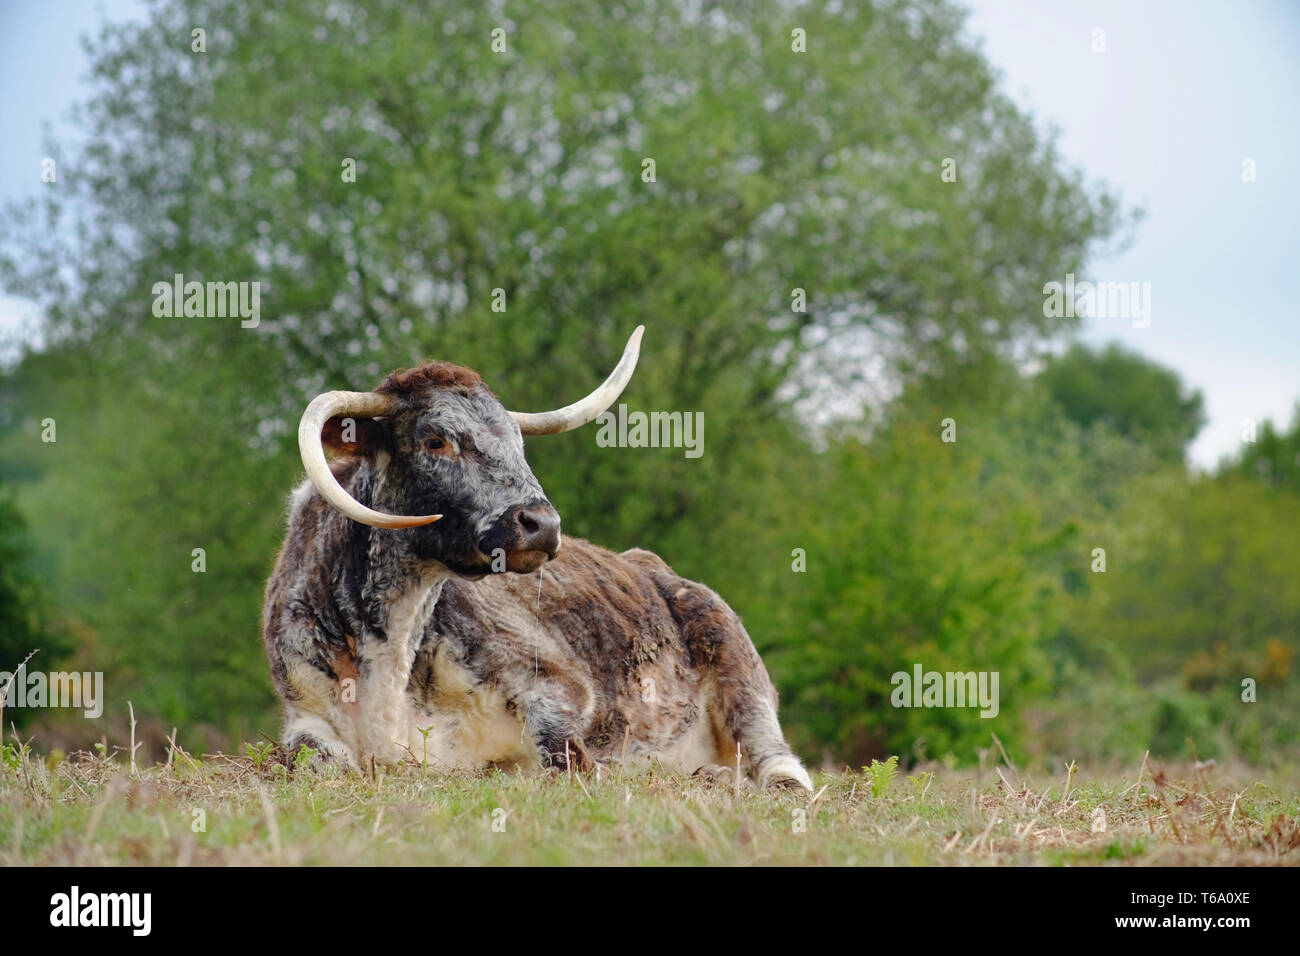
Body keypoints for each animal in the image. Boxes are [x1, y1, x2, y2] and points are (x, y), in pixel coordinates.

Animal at [262, 325, 811, 790]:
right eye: (435, 439)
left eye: (518, 442)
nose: (542, 524)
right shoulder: (304, 713)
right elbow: (312, 758)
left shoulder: (558, 683)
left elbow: (566, 755)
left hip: (742, 678)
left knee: (778, 763)